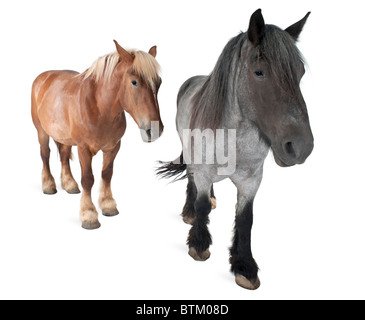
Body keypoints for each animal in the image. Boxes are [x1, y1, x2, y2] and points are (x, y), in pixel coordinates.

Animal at [31, 40, 162, 230]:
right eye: (134, 82)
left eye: (159, 83)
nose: (155, 130)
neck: (100, 107)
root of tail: (42, 77)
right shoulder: (84, 149)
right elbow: (87, 179)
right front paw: (89, 215)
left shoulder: (113, 147)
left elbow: (107, 174)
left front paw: (108, 205)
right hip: (41, 131)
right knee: (45, 154)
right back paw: (49, 185)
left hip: (65, 137)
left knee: (63, 155)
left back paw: (69, 184)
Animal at [156, 9, 312, 290]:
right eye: (259, 72)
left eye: (301, 72)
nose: (301, 147)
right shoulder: (203, 171)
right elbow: (202, 205)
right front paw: (199, 244)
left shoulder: (251, 181)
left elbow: (245, 219)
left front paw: (244, 266)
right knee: (191, 180)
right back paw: (189, 212)